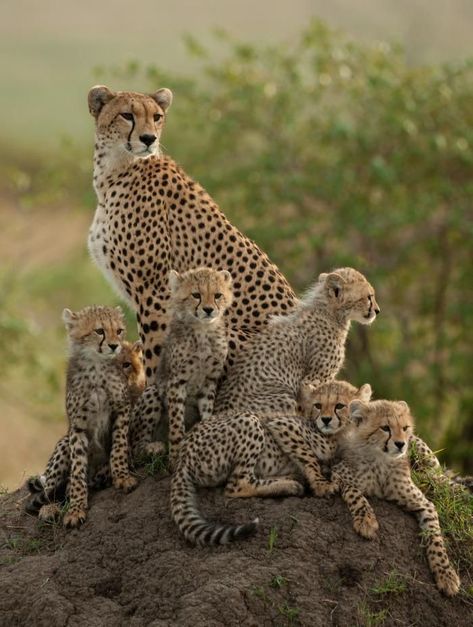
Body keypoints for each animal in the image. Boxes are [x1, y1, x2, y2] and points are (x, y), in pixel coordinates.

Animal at [86, 85, 296, 380]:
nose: (149, 138)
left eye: (157, 116)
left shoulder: (157, 291)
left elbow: (155, 353)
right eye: (127, 115)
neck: (116, 170)